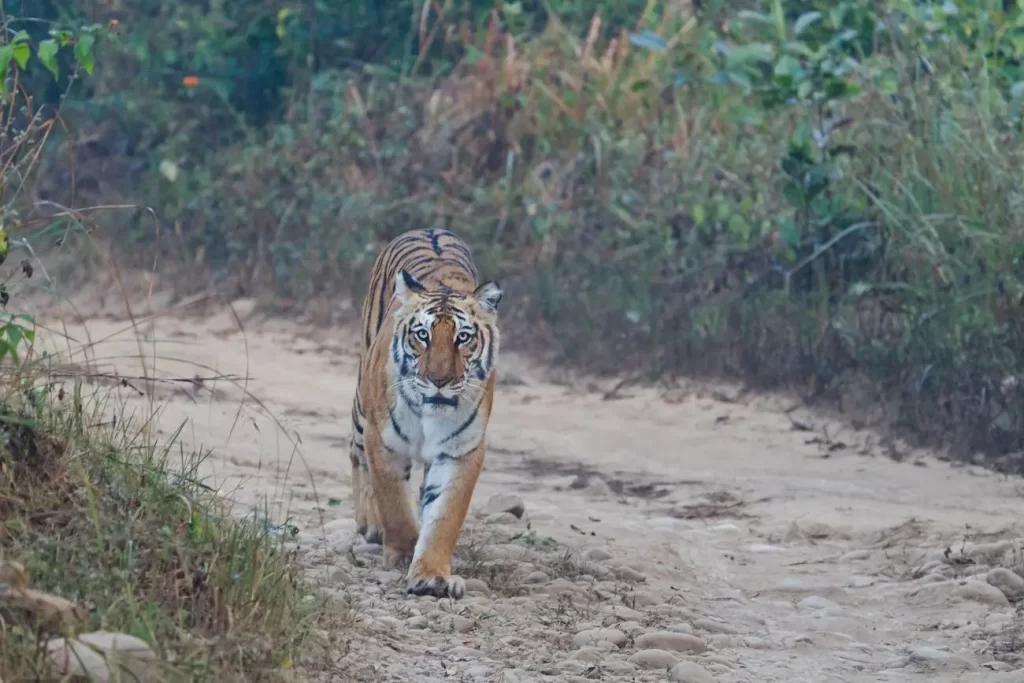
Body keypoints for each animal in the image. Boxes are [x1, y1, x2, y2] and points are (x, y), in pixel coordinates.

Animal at [346, 225, 501, 598]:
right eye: (422, 335)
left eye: (463, 338)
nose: (439, 380)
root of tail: (429, 228)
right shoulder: (383, 440)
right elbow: (394, 503)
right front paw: (403, 552)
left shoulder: (461, 451)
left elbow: (444, 515)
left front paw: (431, 575)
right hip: (361, 406)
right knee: (356, 455)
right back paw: (370, 524)